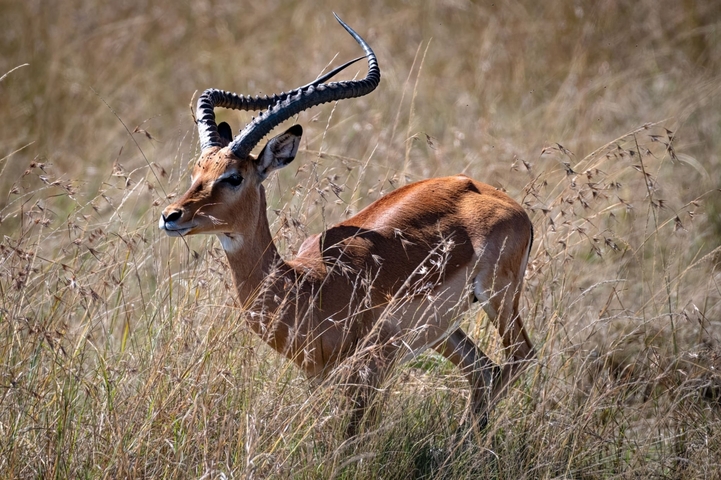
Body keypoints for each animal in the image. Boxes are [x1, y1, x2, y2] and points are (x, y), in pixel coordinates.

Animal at [159, 14, 535, 435]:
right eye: (197, 171)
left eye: (234, 177)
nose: (172, 216)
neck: (308, 286)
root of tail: (495, 196)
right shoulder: (320, 377)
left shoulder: (369, 371)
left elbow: (351, 434)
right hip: (445, 330)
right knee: (484, 371)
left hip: (497, 296)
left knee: (519, 357)